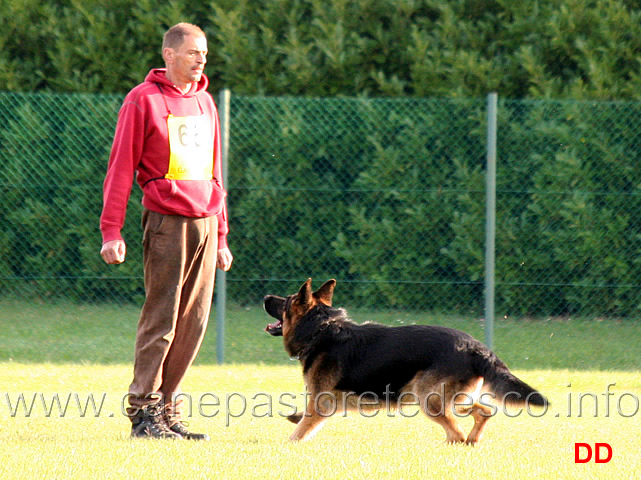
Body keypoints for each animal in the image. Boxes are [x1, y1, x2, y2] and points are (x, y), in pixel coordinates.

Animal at [262, 280, 548, 444]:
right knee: (483, 412)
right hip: (451, 399)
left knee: (457, 431)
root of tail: (476, 347)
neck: (320, 330)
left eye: (287, 302)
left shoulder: (320, 404)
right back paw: (472, 441)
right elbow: (301, 419)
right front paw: (294, 418)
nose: (265, 297)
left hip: (429, 400)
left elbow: (298, 433)